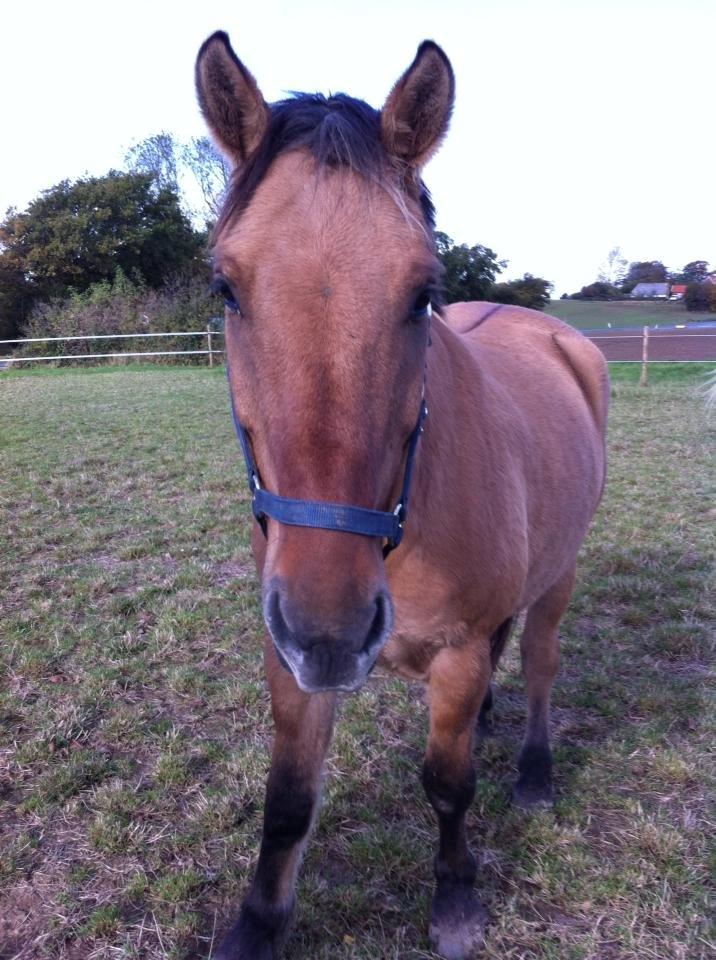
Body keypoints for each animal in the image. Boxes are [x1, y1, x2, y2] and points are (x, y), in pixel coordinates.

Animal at [196, 30, 608, 960]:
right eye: (226, 289)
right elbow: (288, 800)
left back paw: (533, 768)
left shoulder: (449, 654)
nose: (332, 629)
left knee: (539, 662)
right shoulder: (287, 656)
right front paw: (255, 925)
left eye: (423, 294)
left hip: (560, 576)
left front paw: (455, 899)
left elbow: (447, 785)